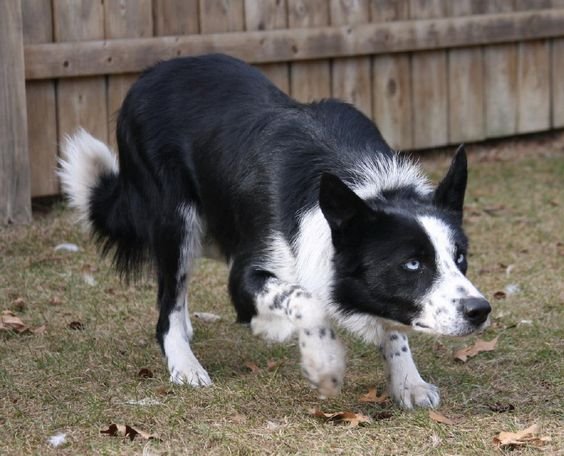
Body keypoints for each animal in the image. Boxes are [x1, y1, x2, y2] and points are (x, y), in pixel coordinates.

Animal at [60, 53, 490, 410]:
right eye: (413, 264)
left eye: (461, 257)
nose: (480, 311)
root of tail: (150, 74)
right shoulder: (246, 275)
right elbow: (305, 299)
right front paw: (323, 362)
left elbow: (392, 330)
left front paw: (408, 383)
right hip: (175, 220)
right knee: (168, 300)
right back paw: (184, 362)